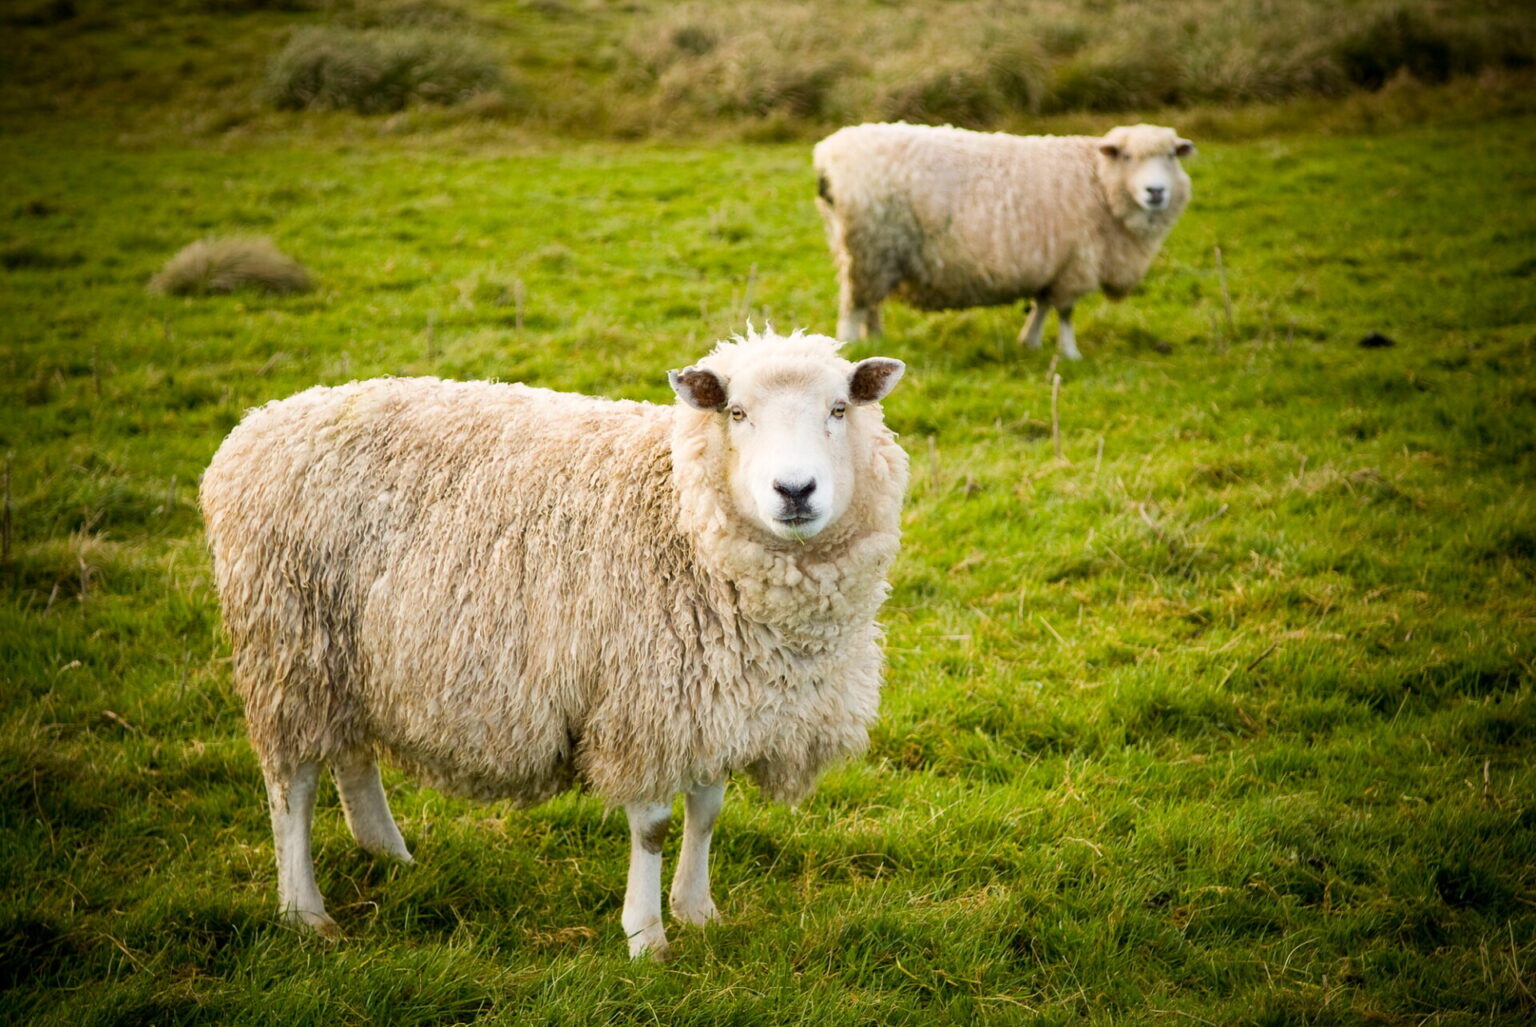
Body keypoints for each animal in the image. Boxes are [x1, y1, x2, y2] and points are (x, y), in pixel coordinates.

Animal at [199, 328, 909, 959]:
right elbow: (653, 828)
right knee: (291, 785)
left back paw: (388, 853)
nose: (795, 491)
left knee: (350, 753)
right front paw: (646, 938)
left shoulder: (708, 697)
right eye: (737, 412)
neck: (679, 513)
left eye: (839, 409)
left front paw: (698, 911)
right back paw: (304, 912)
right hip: (287, 643)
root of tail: (259, 423)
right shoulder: (641, 700)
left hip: (349, 653)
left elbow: (707, 810)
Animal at [813, 122, 1194, 359]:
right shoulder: (1077, 261)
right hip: (868, 246)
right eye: (1128, 157)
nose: (1156, 192)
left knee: (870, 303)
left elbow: (1042, 304)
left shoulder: (1052, 263)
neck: (1100, 180)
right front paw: (1070, 353)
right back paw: (849, 345)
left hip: (872, 251)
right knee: (854, 307)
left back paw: (875, 339)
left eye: (1170, 156)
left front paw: (1031, 342)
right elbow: (1066, 312)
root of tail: (827, 156)